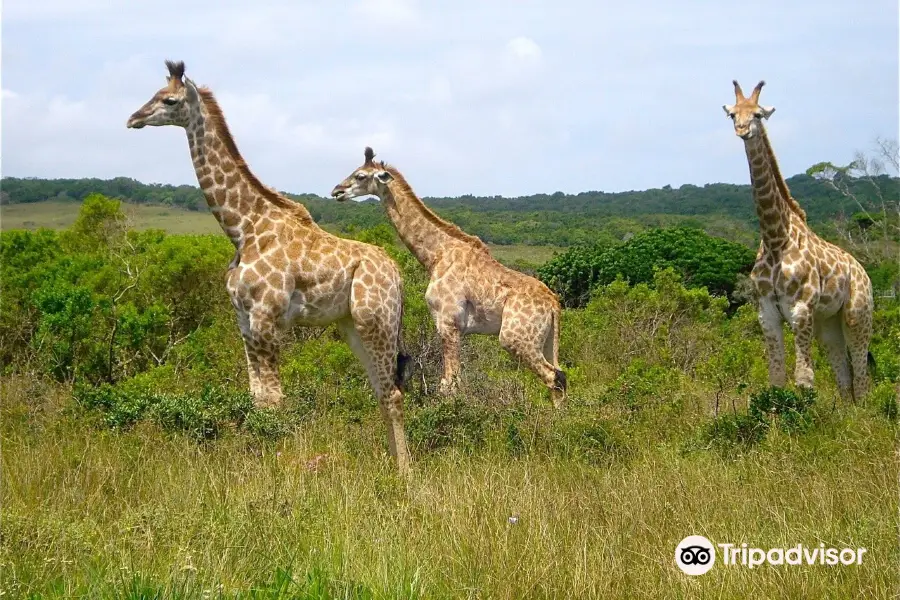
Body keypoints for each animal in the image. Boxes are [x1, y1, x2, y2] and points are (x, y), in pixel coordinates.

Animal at [125, 61, 414, 474]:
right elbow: (256, 397)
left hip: (378, 320)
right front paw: (255, 464)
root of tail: (399, 275)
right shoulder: (244, 319)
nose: (133, 118)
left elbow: (275, 400)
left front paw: (278, 469)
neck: (242, 228)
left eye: (169, 100)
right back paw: (391, 465)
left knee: (392, 392)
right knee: (381, 387)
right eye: (154, 93)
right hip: (352, 325)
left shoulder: (266, 316)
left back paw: (405, 473)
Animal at [330, 147, 568, 408]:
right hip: (546, 340)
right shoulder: (455, 328)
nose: (337, 191)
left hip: (515, 337)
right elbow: (452, 381)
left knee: (553, 376)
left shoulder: (448, 322)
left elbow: (449, 385)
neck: (436, 255)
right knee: (560, 375)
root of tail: (554, 305)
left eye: (360, 176)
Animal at [720, 78, 876, 398]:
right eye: (733, 115)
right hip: (828, 324)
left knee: (861, 376)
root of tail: (864, 271)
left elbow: (804, 379)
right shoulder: (767, 312)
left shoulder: (801, 309)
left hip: (857, 315)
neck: (775, 238)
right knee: (844, 377)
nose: (742, 130)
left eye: (758, 114)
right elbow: (777, 377)